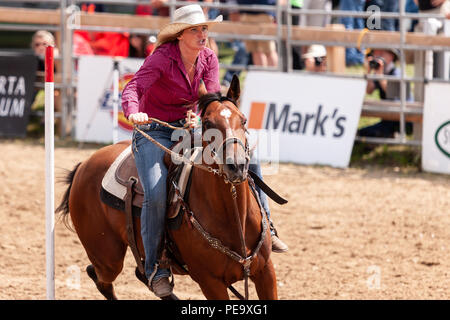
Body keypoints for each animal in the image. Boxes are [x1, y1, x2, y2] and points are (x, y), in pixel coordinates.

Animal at [57, 75, 276, 300]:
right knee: (99, 276)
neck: (232, 216)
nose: (237, 165)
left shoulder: (265, 271)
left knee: (141, 274)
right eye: (207, 122)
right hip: (107, 257)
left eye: (244, 120)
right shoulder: (210, 282)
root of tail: (83, 165)